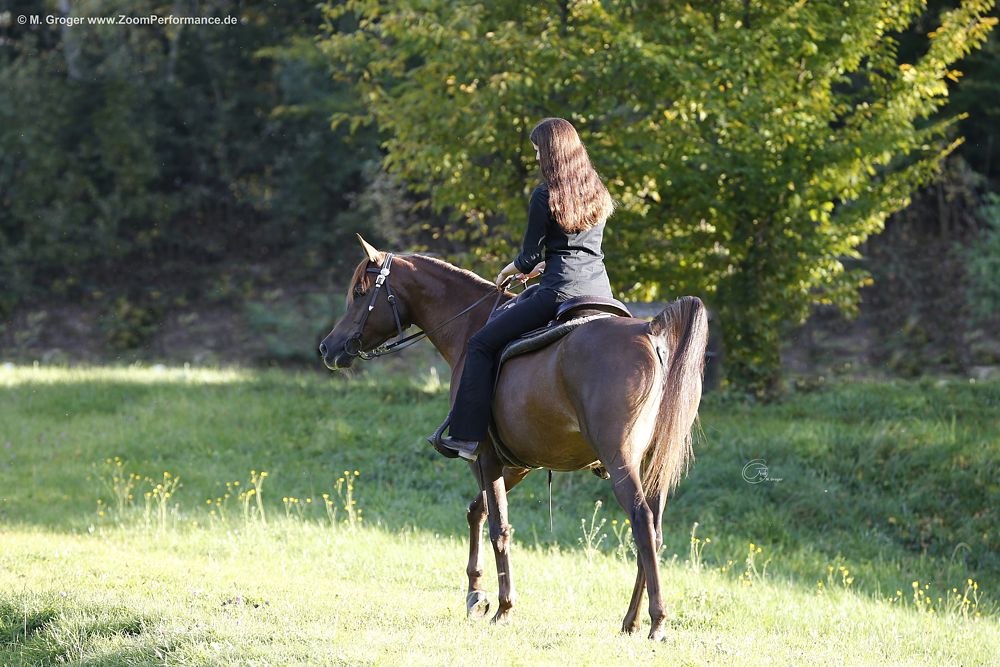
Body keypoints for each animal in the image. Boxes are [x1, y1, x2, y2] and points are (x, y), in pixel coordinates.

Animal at [316, 236, 708, 640]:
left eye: (361, 292)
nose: (328, 348)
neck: (469, 326)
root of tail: (649, 332)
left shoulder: (486, 456)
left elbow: (498, 527)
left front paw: (503, 606)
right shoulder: (518, 465)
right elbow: (477, 511)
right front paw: (476, 593)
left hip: (621, 462)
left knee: (641, 522)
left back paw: (656, 621)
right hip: (653, 467)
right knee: (655, 533)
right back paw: (631, 620)